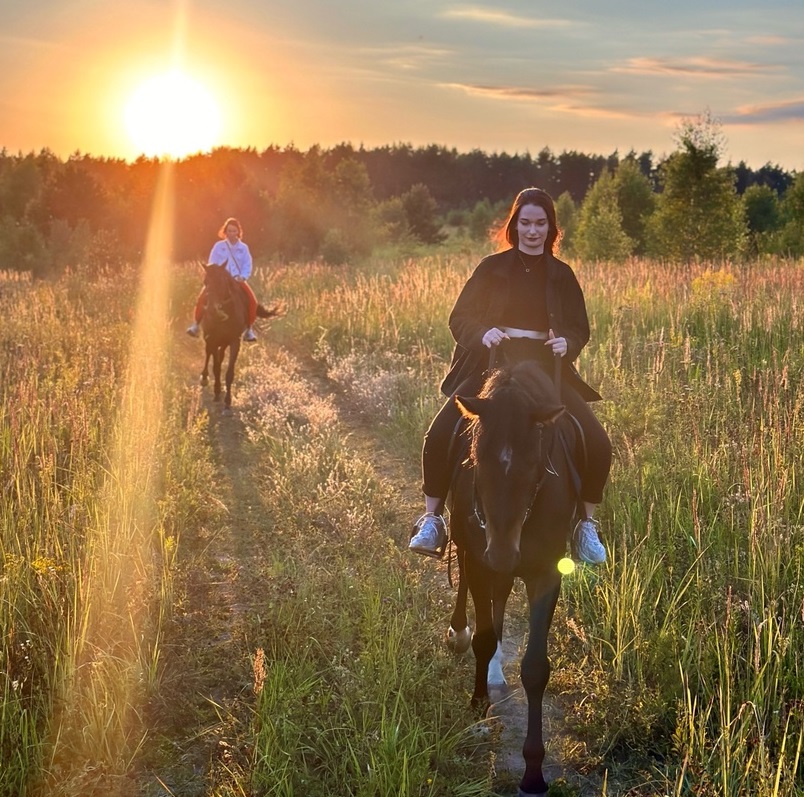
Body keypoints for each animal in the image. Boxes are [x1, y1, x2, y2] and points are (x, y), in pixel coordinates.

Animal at [446, 360, 576, 796]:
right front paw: (477, 708)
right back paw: (459, 632)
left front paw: (534, 772)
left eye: (534, 466)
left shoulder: (546, 573)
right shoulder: (478, 557)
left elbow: (535, 668)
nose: (502, 554)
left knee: (499, 597)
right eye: (476, 459)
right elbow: (484, 638)